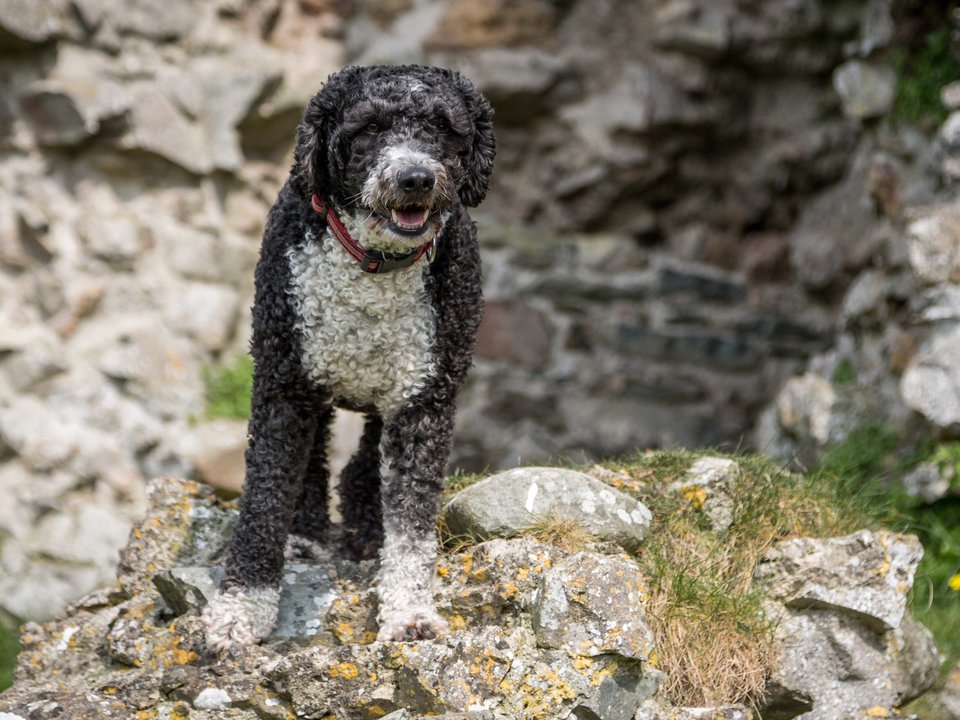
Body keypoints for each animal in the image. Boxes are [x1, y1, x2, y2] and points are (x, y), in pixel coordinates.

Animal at [202, 66, 496, 652]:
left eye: (442, 127)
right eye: (370, 129)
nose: (414, 178)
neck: (373, 267)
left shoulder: (424, 399)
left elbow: (411, 517)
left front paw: (410, 610)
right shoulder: (284, 386)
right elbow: (265, 499)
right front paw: (241, 608)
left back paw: (364, 527)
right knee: (312, 461)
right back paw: (306, 534)